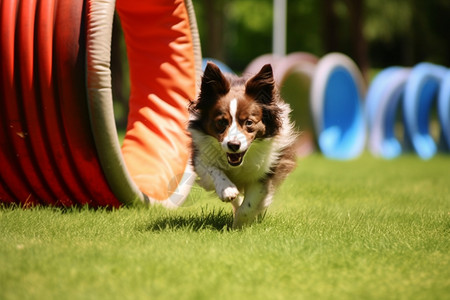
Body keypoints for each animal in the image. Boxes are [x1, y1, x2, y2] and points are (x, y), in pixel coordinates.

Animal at [188, 62, 298, 229]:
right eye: (222, 122)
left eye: (249, 122)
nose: (233, 145)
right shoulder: (200, 156)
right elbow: (213, 170)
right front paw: (227, 190)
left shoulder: (266, 170)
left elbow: (250, 204)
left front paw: (239, 224)